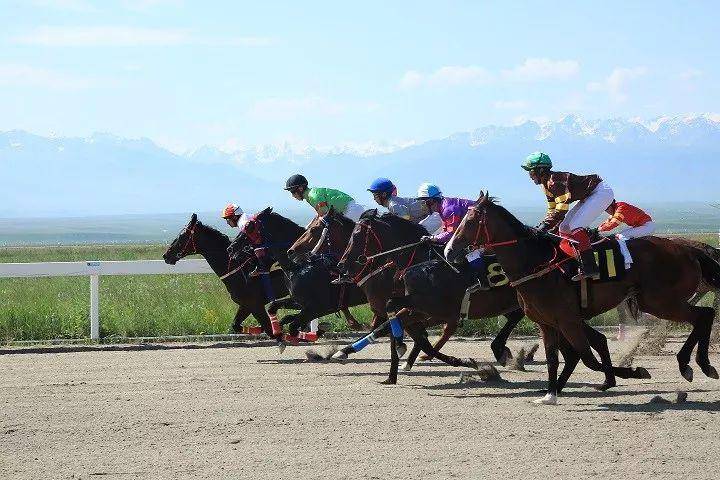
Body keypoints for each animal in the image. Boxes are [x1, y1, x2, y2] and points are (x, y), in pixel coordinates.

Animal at [444, 193, 720, 404]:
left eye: (470, 220)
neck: (537, 264)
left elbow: (588, 358)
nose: (449, 251)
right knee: (704, 316)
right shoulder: (547, 323)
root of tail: (689, 248)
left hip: (660, 301)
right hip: (654, 301)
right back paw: (696, 364)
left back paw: (694, 364)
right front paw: (550, 395)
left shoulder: (568, 320)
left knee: (704, 315)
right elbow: (555, 358)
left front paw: (633, 372)